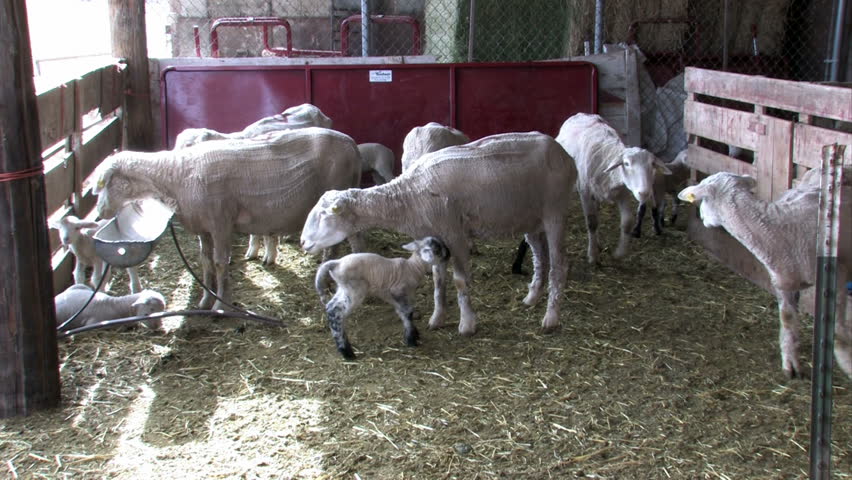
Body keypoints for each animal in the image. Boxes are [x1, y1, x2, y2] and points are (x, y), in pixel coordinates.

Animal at [93, 127, 362, 311]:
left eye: (106, 184)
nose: (98, 214)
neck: (176, 176)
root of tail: (351, 144)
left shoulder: (220, 222)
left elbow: (221, 262)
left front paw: (222, 304)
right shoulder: (204, 228)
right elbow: (205, 261)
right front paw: (205, 300)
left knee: (345, 242)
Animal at [301, 131, 578, 336]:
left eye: (324, 214)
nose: (303, 242)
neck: (408, 198)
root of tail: (564, 154)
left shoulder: (455, 235)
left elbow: (460, 281)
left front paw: (467, 325)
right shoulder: (436, 237)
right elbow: (437, 281)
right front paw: (437, 318)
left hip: (555, 211)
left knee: (560, 264)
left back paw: (551, 318)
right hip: (530, 218)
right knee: (540, 257)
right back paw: (532, 297)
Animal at [315, 236, 451, 359]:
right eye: (437, 249)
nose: (449, 254)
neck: (413, 267)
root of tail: (336, 263)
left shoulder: (397, 297)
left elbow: (403, 313)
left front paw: (414, 334)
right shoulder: (398, 291)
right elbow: (407, 314)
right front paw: (411, 340)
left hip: (343, 288)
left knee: (330, 306)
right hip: (354, 289)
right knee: (335, 311)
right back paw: (347, 352)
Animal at [556, 113, 671, 264]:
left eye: (652, 164)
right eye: (626, 164)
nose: (644, 193)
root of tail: (583, 114)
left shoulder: (622, 193)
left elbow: (627, 222)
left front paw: (619, 253)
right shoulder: (585, 192)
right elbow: (592, 223)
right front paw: (593, 256)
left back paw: (598, 243)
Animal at [678, 169, 851, 379]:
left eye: (703, 200)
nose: (702, 217)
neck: (782, 230)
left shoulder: (838, 275)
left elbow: (839, 333)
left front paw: (848, 366)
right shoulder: (782, 282)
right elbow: (787, 319)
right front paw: (790, 364)